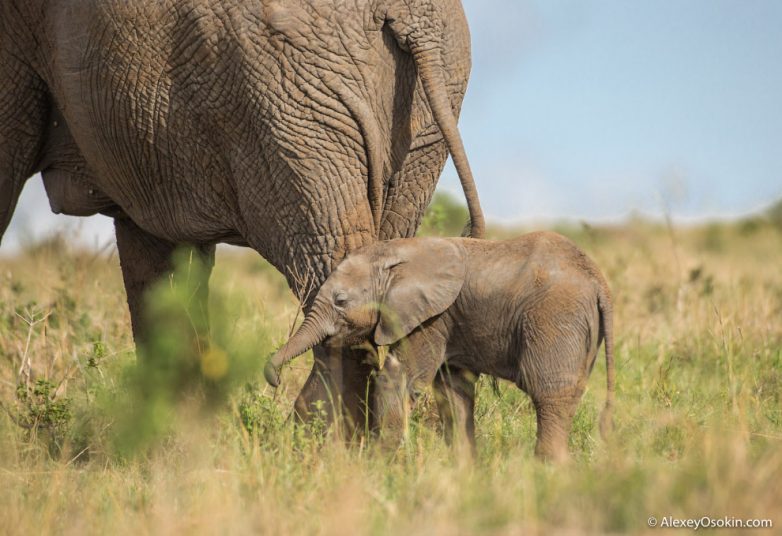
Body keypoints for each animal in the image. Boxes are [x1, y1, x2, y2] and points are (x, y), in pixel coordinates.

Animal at [1, 0, 484, 436]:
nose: (268, 376)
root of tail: (414, 15)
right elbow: (161, 259)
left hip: (290, 105)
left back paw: (312, 441)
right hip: (410, 117)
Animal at [266, 231, 616, 460]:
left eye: (340, 301)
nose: (274, 378)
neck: (396, 252)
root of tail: (599, 281)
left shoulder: (431, 317)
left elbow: (399, 375)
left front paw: (381, 467)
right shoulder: (450, 321)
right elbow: (453, 391)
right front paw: (463, 471)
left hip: (555, 317)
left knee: (549, 394)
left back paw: (548, 469)